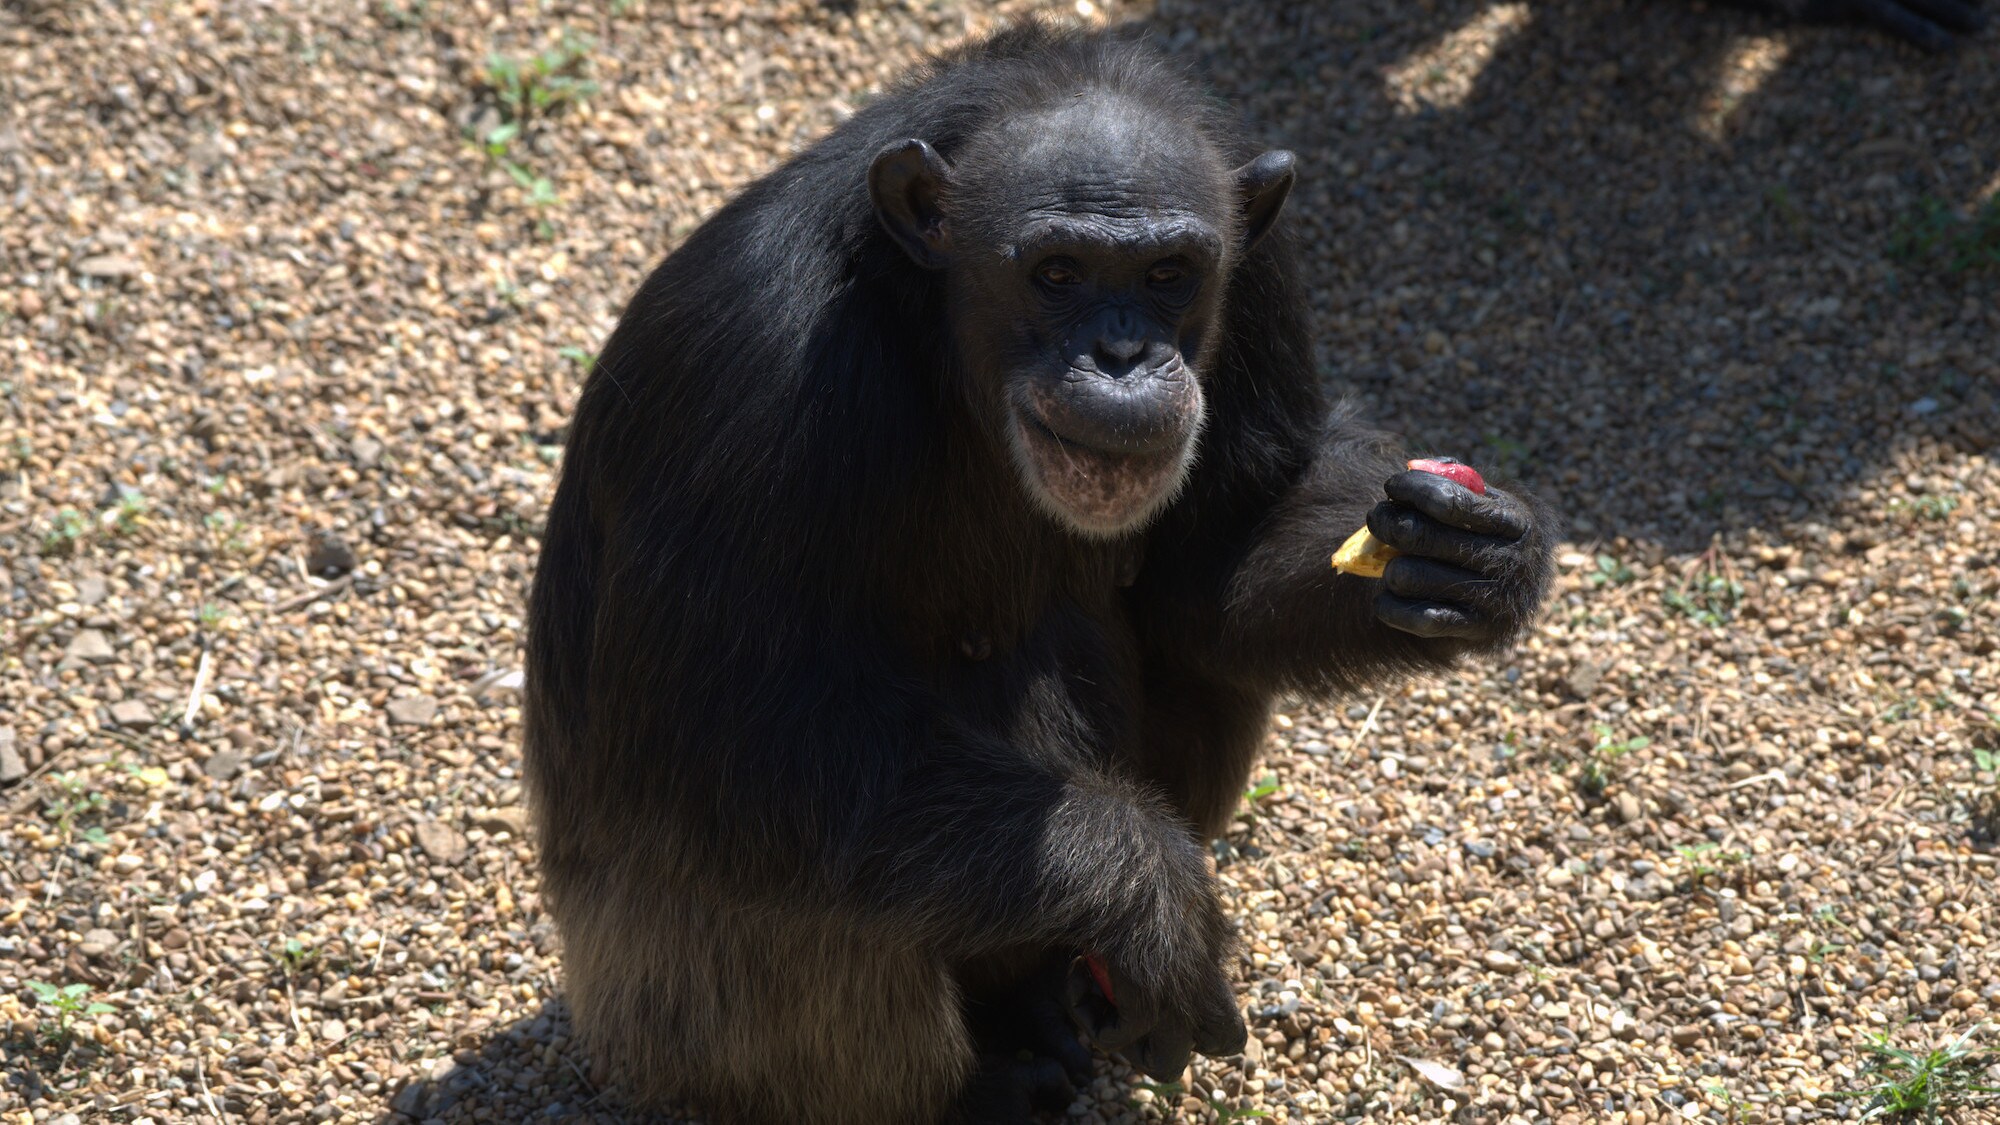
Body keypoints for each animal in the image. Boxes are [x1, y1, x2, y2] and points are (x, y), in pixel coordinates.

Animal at [528, 19, 1560, 1120]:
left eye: (1168, 273)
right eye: (1056, 271)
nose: (1121, 354)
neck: (931, 323)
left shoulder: (1265, 276)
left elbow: (1211, 566)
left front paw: (1468, 557)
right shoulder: (747, 373)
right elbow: (729, 739)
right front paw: (1146, 892)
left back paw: (1050, 1001)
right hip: (655, 1007)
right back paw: (977, 1084)